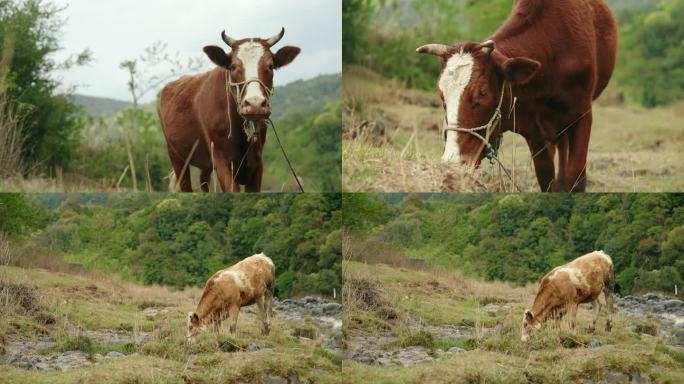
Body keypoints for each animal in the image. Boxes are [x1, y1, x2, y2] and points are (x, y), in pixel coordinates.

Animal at [160, 27, 302, 192]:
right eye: (233, 66)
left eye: (270, 66)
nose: (255, 103)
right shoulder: (222, 161)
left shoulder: (257, 163)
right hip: (175, 155)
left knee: (204, 182)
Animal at [416, 0, 620, 192]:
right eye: (442, 96)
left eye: (482, 92)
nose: (453, 163)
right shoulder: (535, 131)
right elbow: (546, 179)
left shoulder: (582, 115)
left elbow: (577, 176)